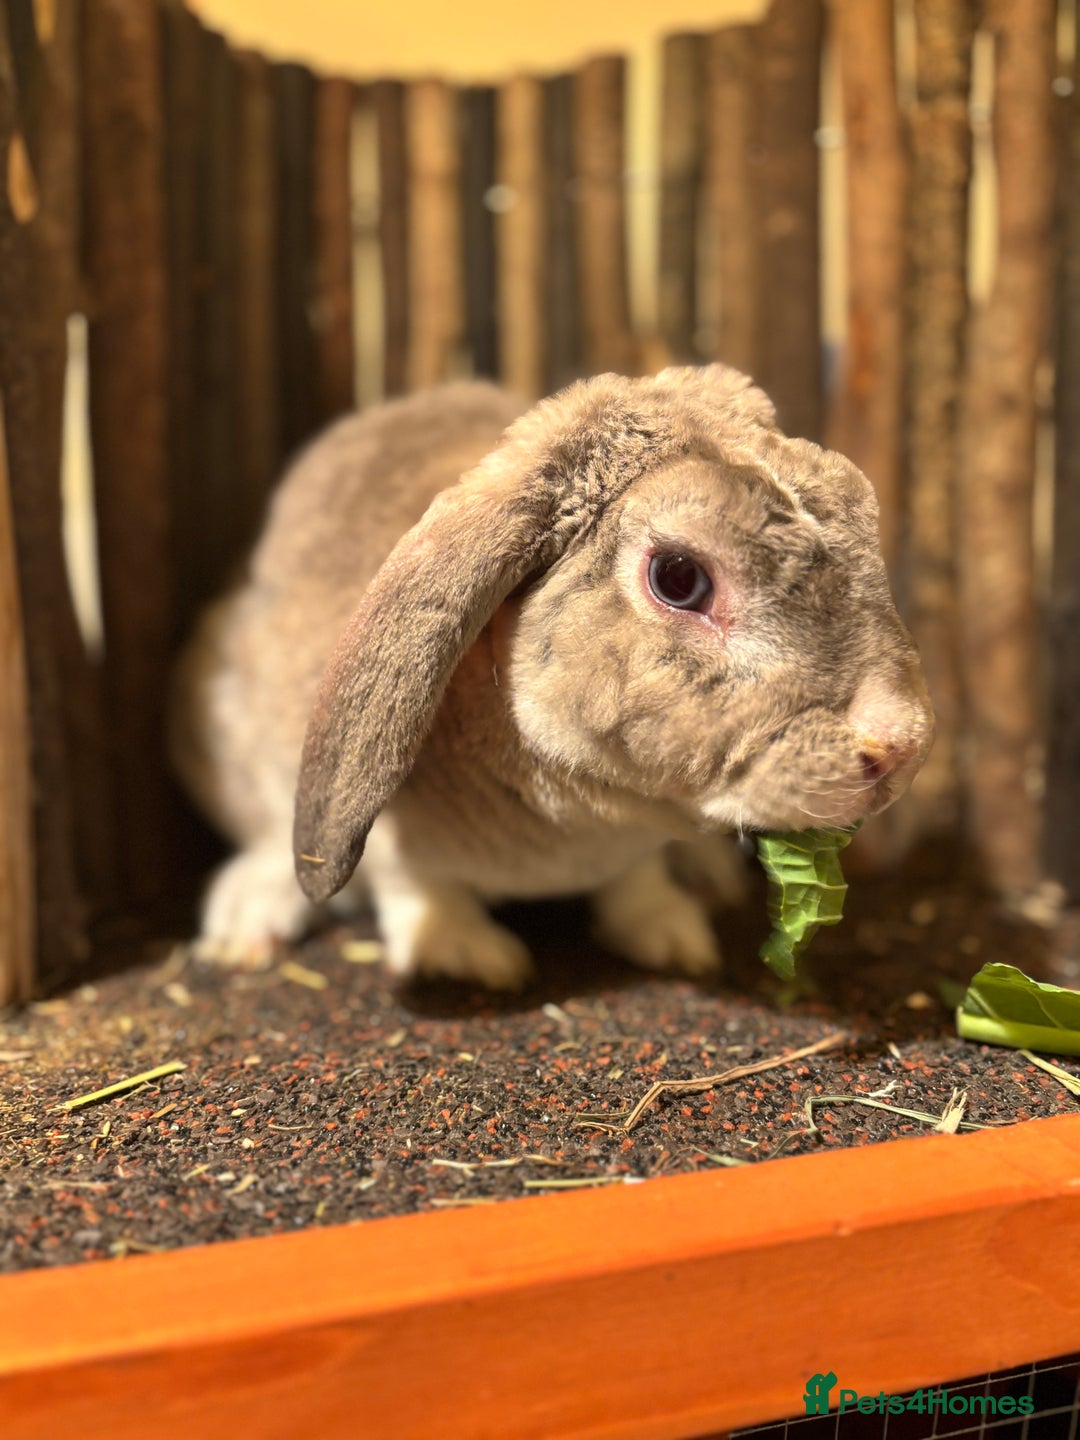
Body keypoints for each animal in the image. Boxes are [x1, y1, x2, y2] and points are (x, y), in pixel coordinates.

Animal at [170, 364, 933, 989]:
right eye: (678, 578)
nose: (900, 747)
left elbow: (637, 881)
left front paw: (672, 936)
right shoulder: (383, 837)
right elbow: (411, 880)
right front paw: (467, 956)